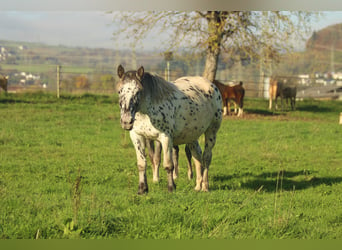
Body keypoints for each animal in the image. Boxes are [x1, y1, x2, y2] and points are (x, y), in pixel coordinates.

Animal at [116, 65, 223, 194]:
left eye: (138, 91)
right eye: (119, 91)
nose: (126, 121)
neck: (146, 111)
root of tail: (211, 85)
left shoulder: (165, 137)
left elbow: (168, 165)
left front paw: (171, 188)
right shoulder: (137, 136)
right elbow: (142, 164)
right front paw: (142, 189)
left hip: (211, 132)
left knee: (206, 157)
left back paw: (205, 187)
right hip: (192, 136)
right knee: (197, 156)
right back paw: (198, 186)